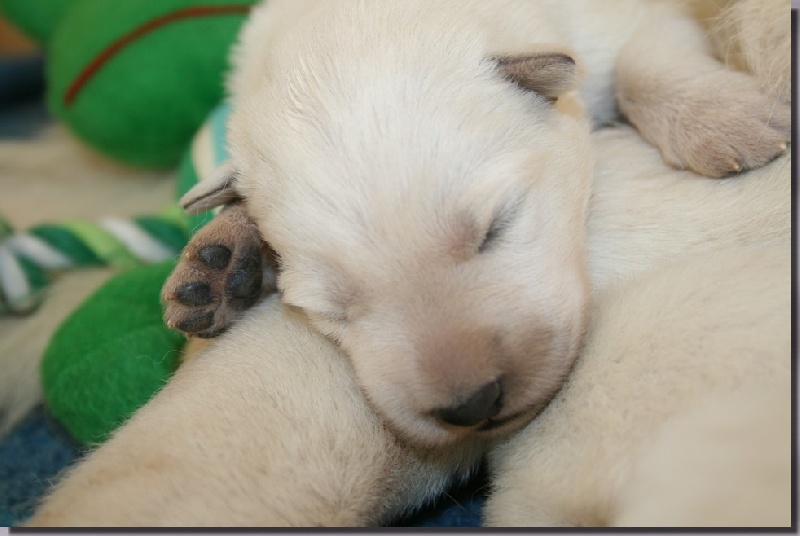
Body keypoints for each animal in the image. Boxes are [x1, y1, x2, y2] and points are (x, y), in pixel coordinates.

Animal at [161, 0, 788, 450]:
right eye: (333, 309)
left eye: (496, 227)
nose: (473, 406)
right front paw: (225, 253)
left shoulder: (625, 20)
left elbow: (643, 56)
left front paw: (727, 119)